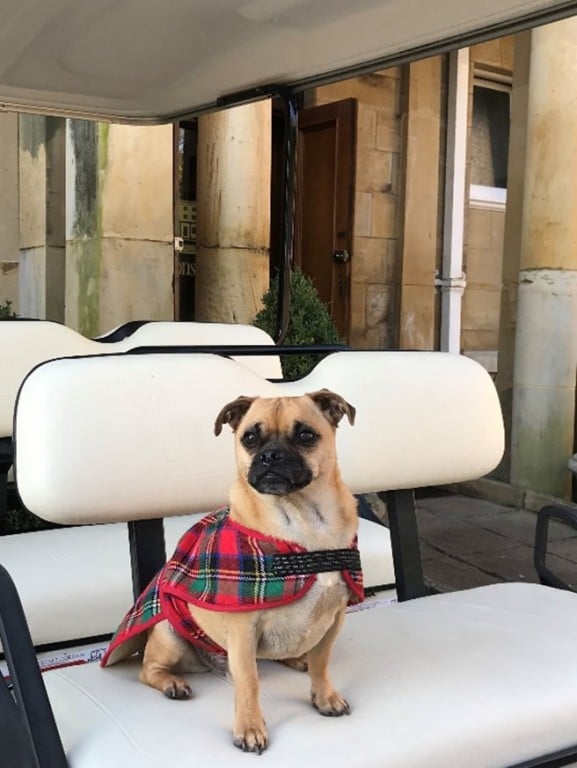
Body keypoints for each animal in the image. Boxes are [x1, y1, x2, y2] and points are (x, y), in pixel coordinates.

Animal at [101, 392, 362, 752]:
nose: (271, 455)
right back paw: (171, 683)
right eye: (249, 438)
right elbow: (249, 682)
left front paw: (325, 697)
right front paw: (249, 728)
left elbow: (322, 664)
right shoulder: (243, 632)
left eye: (306, 435)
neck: (302, 523)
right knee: (147, 669)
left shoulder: (333, 619)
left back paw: (297, 658)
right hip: (169, 634)